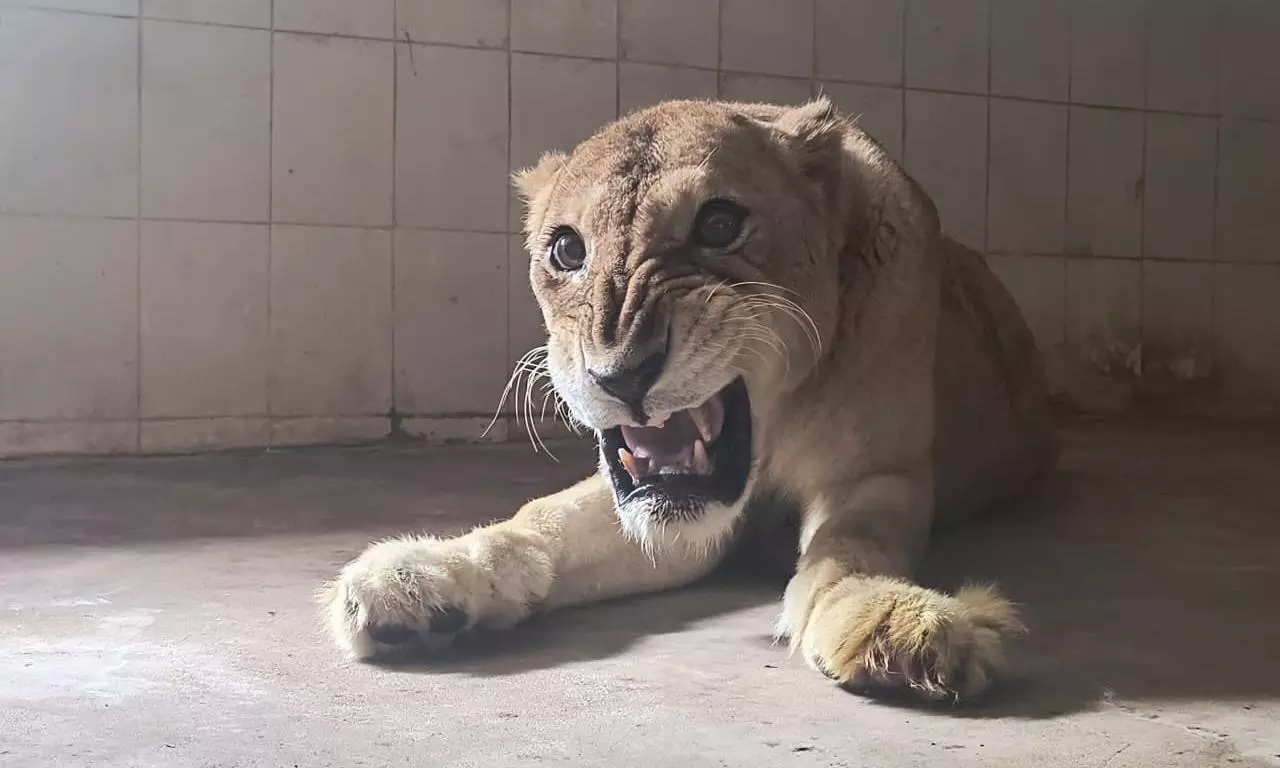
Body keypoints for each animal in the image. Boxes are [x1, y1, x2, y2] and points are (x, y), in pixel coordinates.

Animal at [319, 97, 1057, 702]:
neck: (772, 424)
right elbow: (545, 520)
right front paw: (421, 578)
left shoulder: (880, 472)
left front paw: (896, 622)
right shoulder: (666, 518)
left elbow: (854, 541)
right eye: (566, 249)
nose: (620, 374)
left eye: (720, 224)